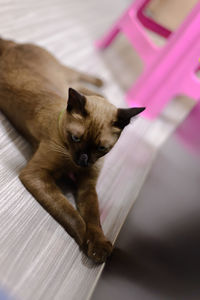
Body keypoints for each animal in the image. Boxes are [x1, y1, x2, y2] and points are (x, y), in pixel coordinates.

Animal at [0, 37, 145, 262]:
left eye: (101, 148)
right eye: (76, 138)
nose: (83, 159)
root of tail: (12, 45)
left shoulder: (87, 185)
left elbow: (93, 218)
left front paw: (99, 245)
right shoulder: (37, 175)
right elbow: (72, 214)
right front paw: (89, 243)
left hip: (63, 77)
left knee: (81, 83)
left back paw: (101, 86)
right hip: (63, 76)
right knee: (78, 81)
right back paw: (101, 86)